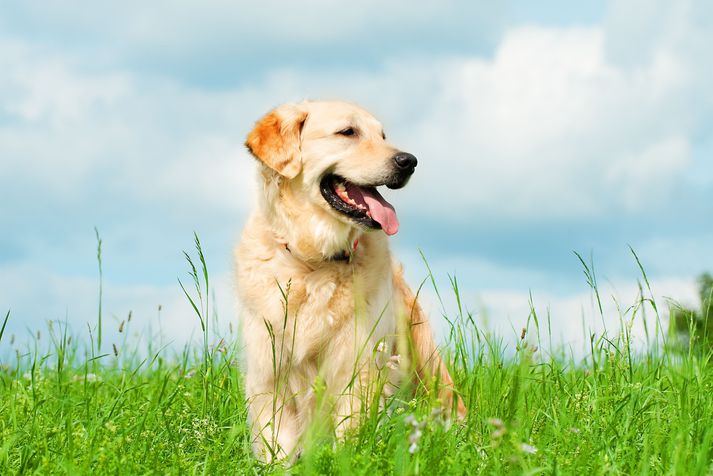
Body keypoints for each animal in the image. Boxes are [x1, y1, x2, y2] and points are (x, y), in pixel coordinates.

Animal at [235, 100, 468, 462]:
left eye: (383, 136)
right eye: (347, 132)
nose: (409, 161)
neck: (314, 263)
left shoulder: (358, 367)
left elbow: (349, 433)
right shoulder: (268, 372)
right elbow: (278, 443)